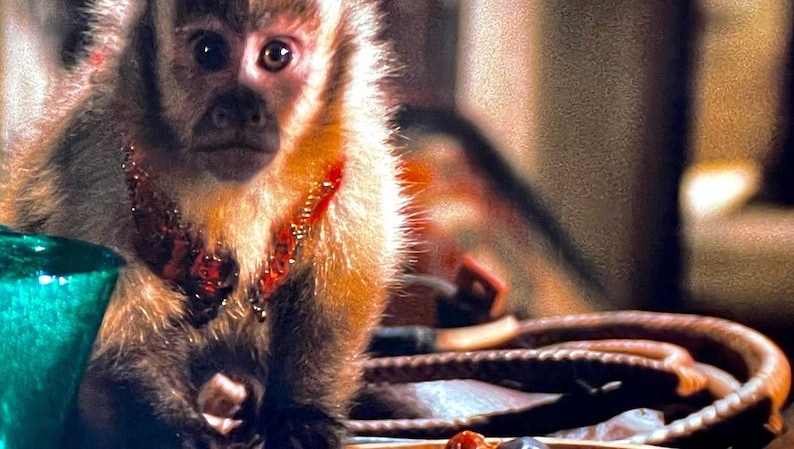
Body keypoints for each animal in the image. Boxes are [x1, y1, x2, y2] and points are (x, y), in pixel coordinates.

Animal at [0, 0, 408, 447]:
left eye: (276, 55)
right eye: (209, 51)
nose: (241, 110)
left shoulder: (354, 148)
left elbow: (337, 295)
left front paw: (302, 414)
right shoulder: (98, 154)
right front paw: (177, 425)